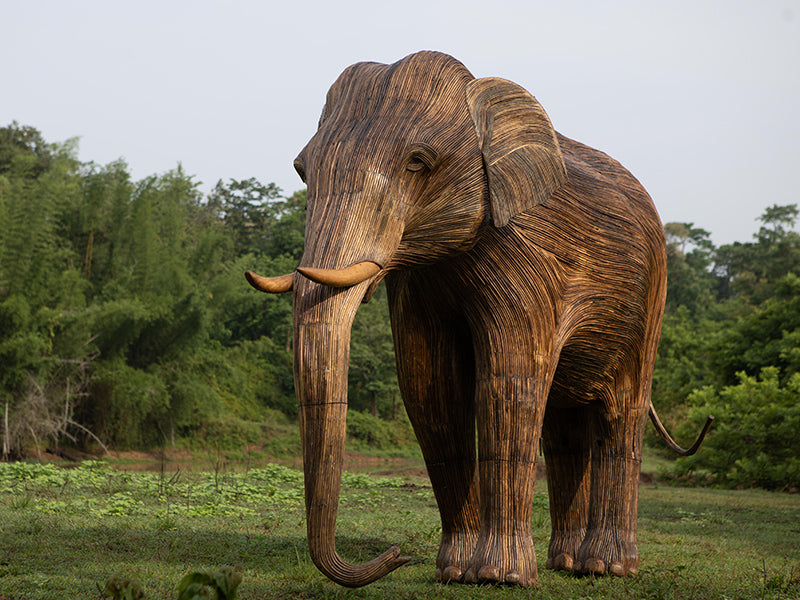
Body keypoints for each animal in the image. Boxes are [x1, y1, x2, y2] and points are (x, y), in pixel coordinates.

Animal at [245, 51, 712, 588]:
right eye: (302, 171)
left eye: (417, 162)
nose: (396, 554)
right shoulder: (422, 281)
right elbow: (429, 388)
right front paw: (454, 572)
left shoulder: (526, 256)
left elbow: (507, 381)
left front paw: (497, 577)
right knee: (564, 425)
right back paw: (565, 564)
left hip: (650, 299)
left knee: (619, 412)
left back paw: (606, 568)